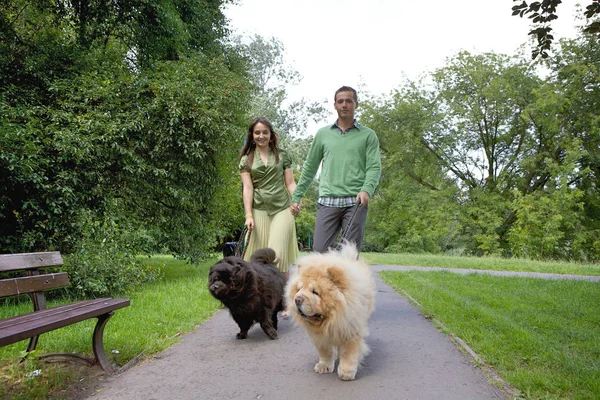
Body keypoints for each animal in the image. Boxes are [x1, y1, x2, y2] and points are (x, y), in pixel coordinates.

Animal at [286, 244, 376, 382]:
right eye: (299, 289)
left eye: (315, 292)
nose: (297, 299)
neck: (330, 319)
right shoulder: (320, 337)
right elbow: (325, 352)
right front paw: (324, 366)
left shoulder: (350, 330)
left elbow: (349, 353)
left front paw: (346, 373)